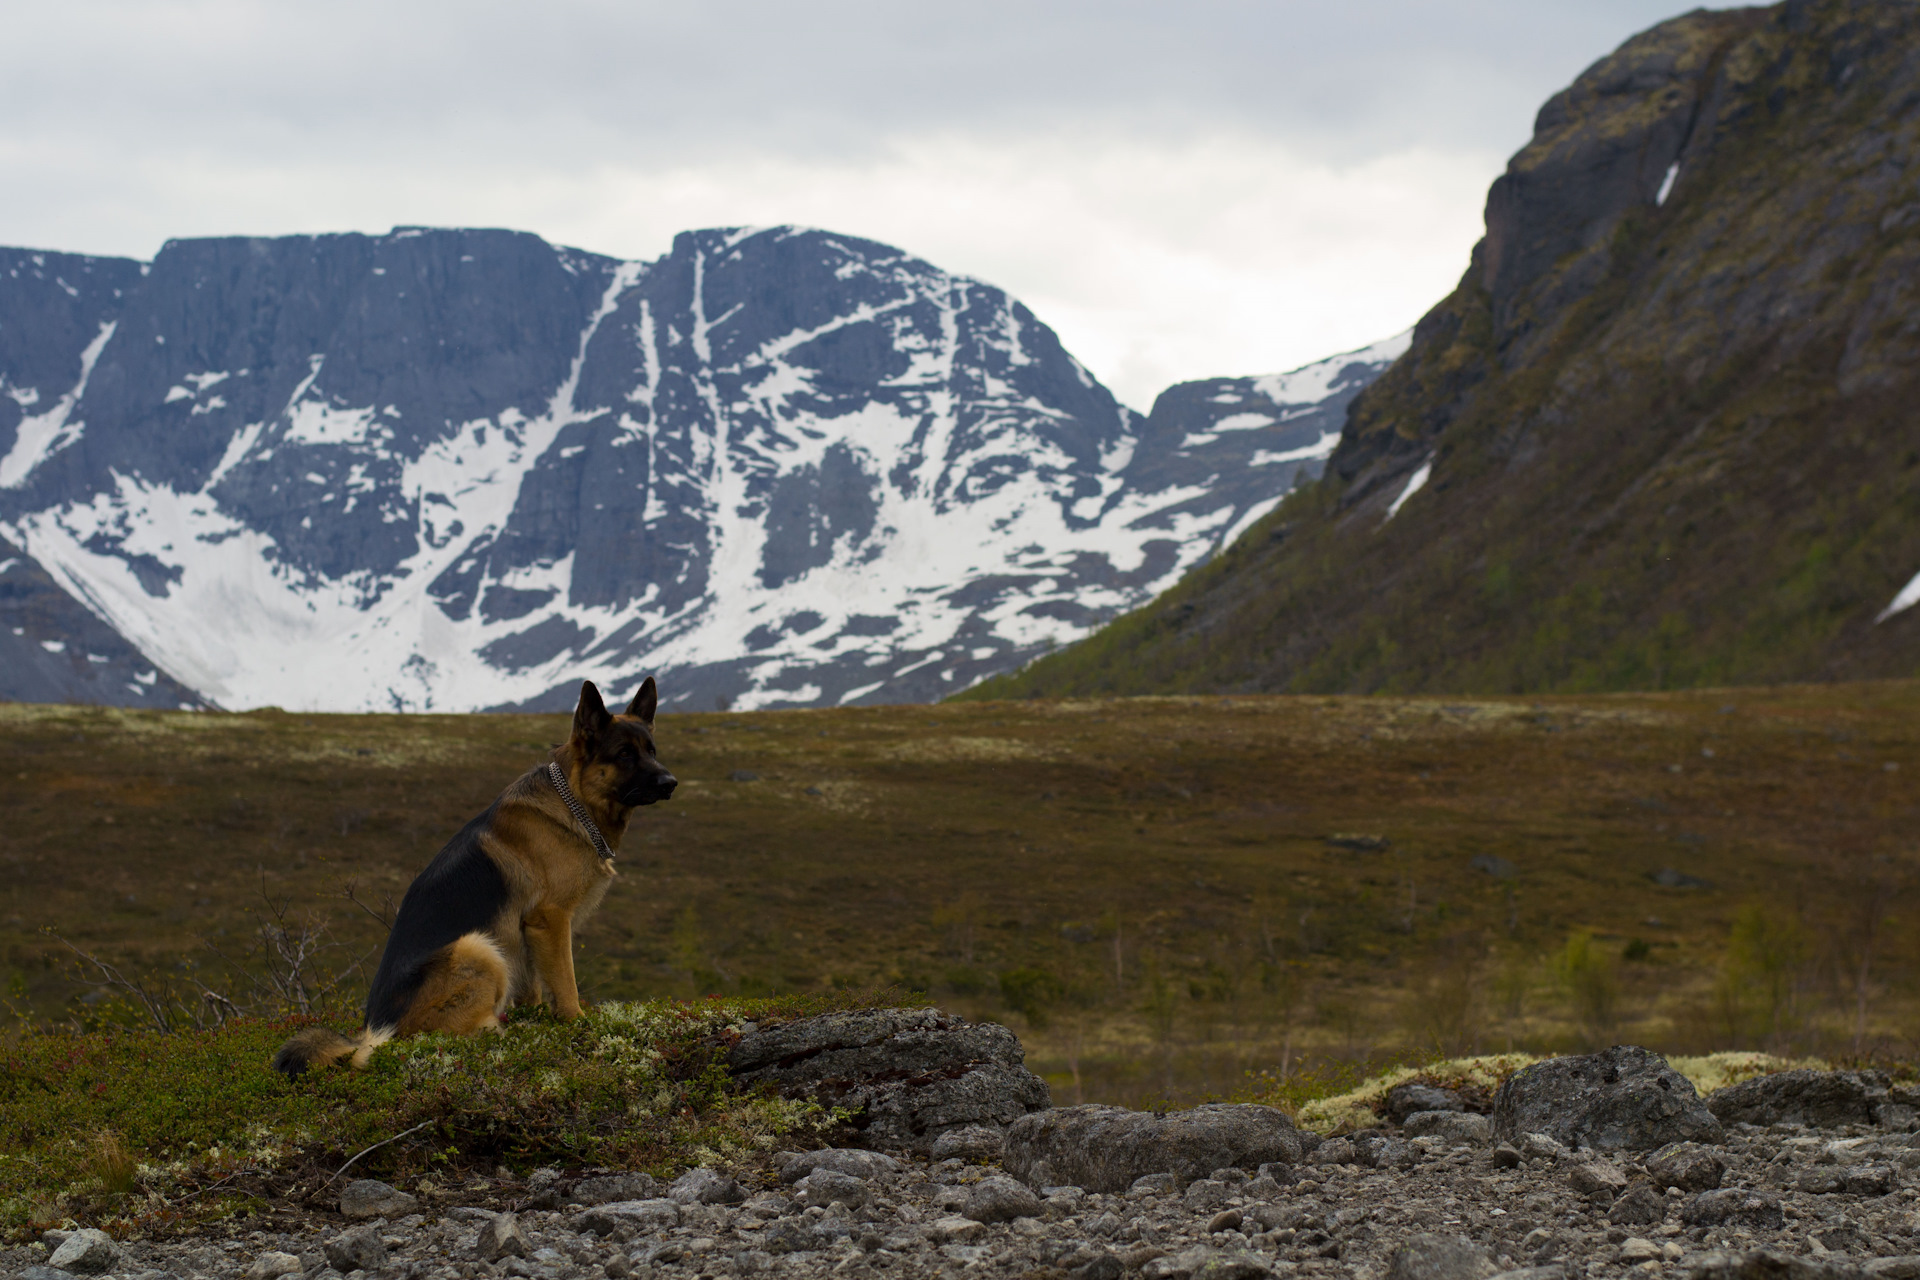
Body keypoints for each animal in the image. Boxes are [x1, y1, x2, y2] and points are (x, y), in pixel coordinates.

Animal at [270, 675, 675, 1074]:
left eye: (652, 750)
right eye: (624, 754)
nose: (670, 782)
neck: (573, 802)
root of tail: (373, 1033)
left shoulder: (528, 933)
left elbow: (535, 988)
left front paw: (538, 1019)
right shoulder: (551, 920)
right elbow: (566, 982)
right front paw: (576, 1022)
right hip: (477, 947)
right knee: (446, 1034)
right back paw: (496, 1030)